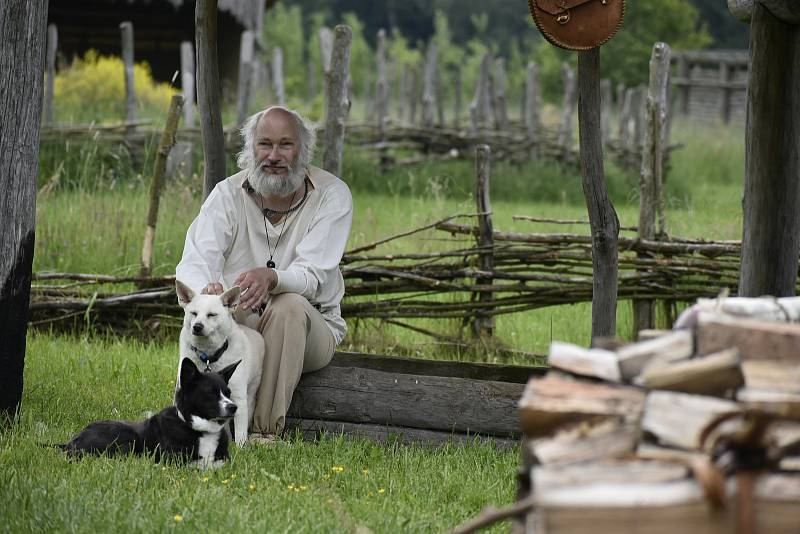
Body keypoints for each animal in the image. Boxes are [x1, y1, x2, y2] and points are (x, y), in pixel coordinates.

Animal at [57, 360, 241, 468]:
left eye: (228, 392)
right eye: (210, 393)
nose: (234, 407)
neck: (200, 430)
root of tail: (70, 442)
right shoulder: (174, 461)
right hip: (127, 435)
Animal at [175, 280, 266, 448]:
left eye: (212, 315)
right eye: (193, 313)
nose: (197, 326)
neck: (209, 355)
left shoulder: (238, 398)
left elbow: (240, 431)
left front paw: (241, 448)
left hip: (251, 393)